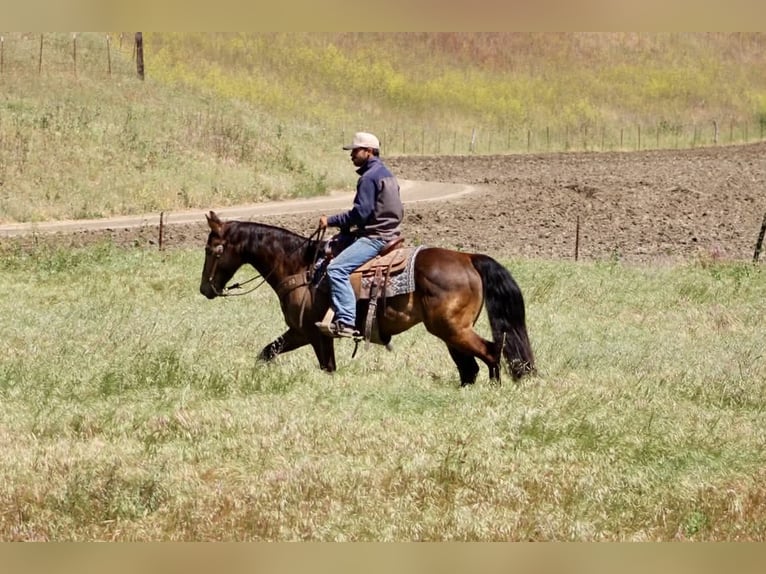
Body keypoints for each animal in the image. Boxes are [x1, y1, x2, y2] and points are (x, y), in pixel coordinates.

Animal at [199, 211, 535, 386]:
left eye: (212, 249)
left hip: (451, 328)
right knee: (470, 367)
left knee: (490, 352)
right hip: (451, 331)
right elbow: (267, 352)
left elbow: (327, 368)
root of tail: (469, 258)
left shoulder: (312, 333)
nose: (205, 289)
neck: (300, 266)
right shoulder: (299, 332)